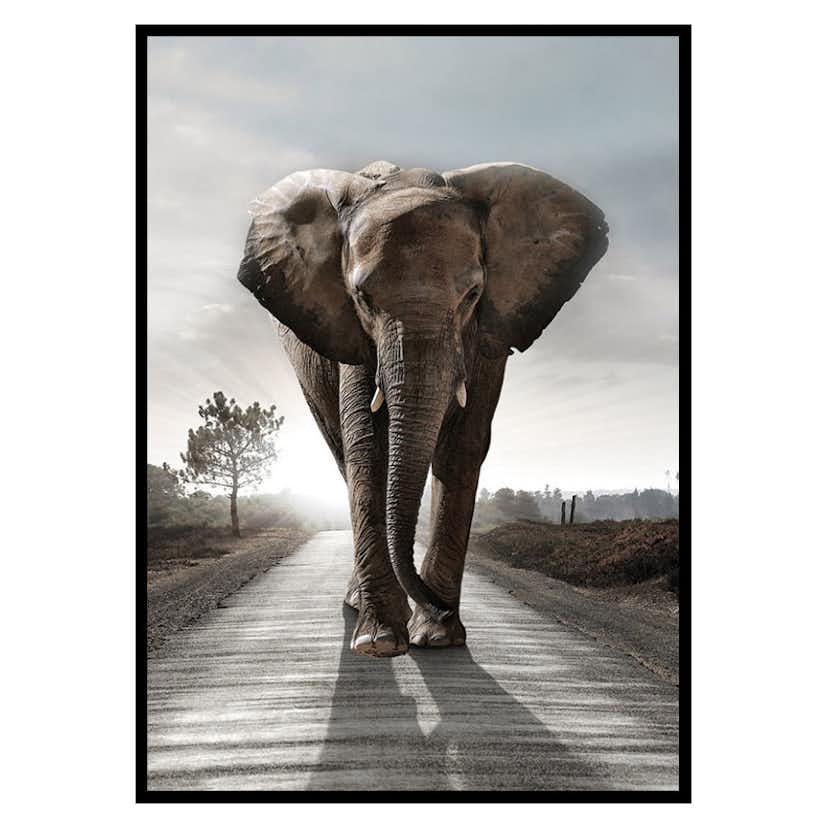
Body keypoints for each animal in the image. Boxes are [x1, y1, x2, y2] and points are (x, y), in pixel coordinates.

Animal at [237, 160, 608, 658]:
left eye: (472, 295)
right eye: (363, 298)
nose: (441, 608)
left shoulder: (487, 335)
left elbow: (463, 447)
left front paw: (437, 637)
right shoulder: (353, 337)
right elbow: (368, 447)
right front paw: (380, 642)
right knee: (342, 454)